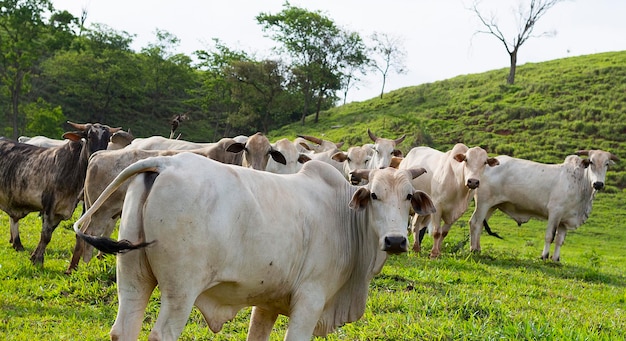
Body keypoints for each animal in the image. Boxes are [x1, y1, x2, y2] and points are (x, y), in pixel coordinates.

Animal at [74, 154, 434, 340]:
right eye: (374, 195)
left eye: (408, 196)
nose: (396, 240)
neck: (344, 215)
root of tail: (166, 162)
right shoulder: (311, 298)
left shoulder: (268, 303)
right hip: (181, 289)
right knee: (162, 334)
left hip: (132, 277)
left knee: (123, 329)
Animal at [468, 149, 616, 260]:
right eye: (591, 162)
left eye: (607, 164)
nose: (598, 184)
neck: (579, 182)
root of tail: (485, 163)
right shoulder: (555, 212)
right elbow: (550, 236)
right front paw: (544, 256)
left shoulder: (565, 220)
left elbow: (560, 240)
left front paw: (555, 259)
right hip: (483, 203)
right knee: (475, 222)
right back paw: (473, 249)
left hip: (491, 206)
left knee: (480, 224)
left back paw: (478, 248)